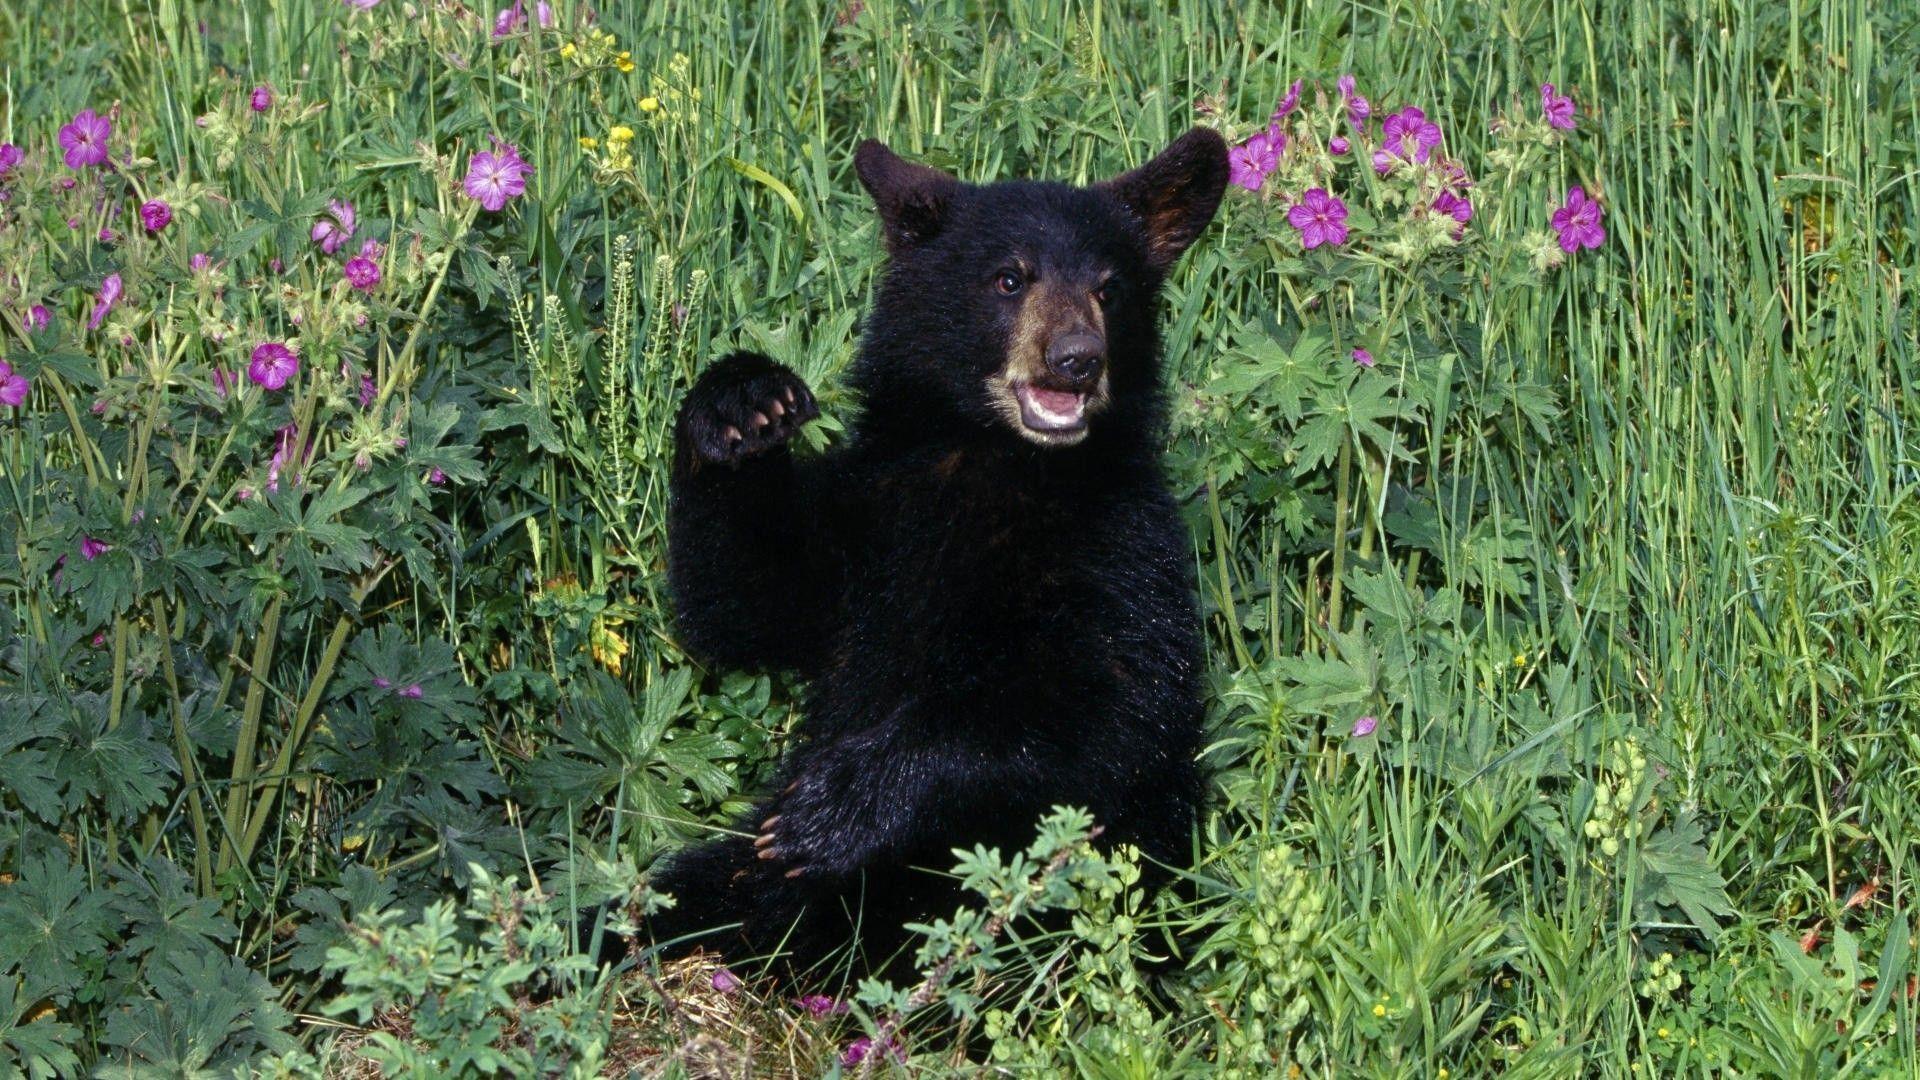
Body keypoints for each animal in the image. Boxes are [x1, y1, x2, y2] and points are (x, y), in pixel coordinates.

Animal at [638, 128, 1229, 980]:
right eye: (1009, 278)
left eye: (1111, 289)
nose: (1077, 358)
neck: (993, 463)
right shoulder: (869, 519)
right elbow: (746, 602)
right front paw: (742, 404)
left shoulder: (1124, 550)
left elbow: (1105, 712)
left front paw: (837, 805)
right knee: (680, 897)